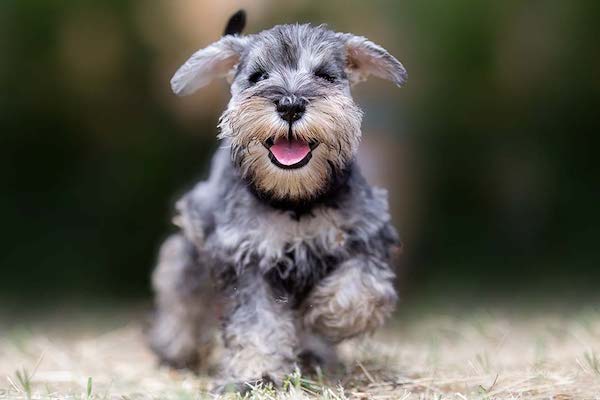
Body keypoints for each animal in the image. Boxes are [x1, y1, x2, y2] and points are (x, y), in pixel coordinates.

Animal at [147, 10, 406, 394]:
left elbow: (363, 289)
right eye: (258, 76)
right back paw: (173, 347)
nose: (290, 104)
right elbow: (257, 323)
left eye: (325, 75)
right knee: (181, 291)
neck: (295, 199)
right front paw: (258, 374)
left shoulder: (366, 235)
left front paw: (325, 316)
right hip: (191, 249)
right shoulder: (246, 257)